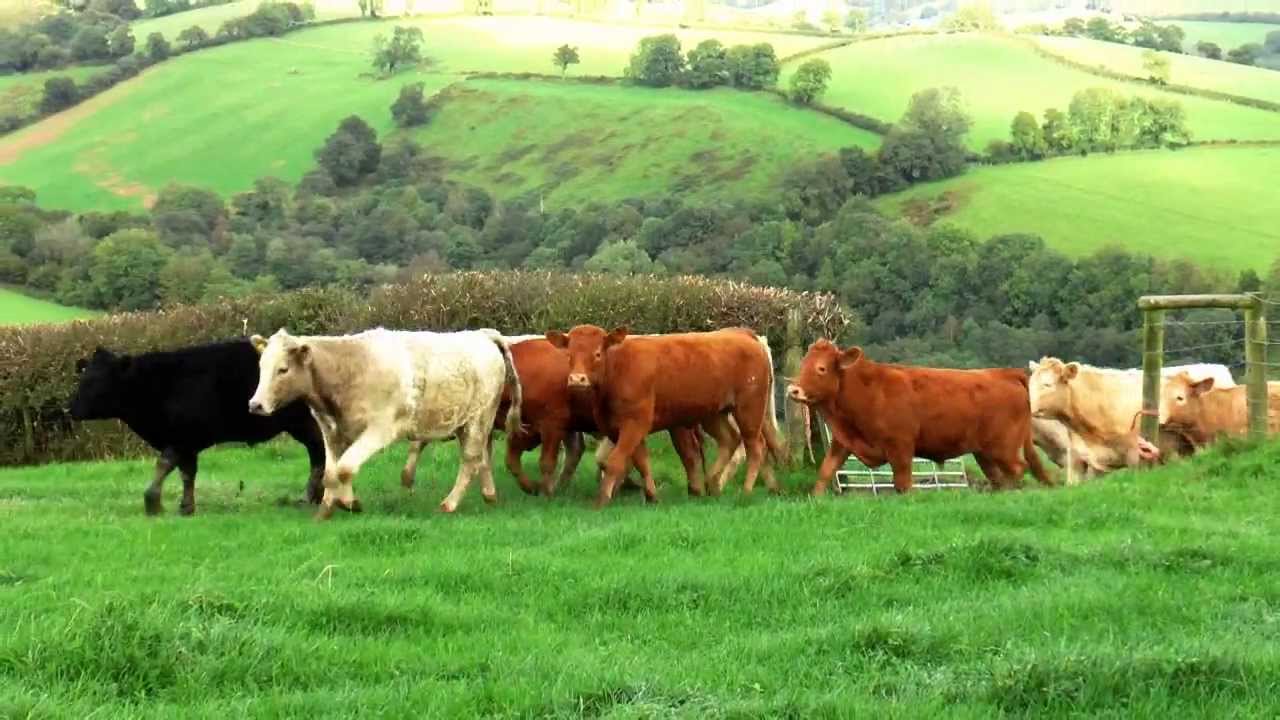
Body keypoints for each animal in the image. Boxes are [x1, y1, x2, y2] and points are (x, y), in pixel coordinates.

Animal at [68, 341, 325, 516]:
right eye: (83, 378)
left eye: (98, 380)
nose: (71, 409)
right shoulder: (186, 442)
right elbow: (187, 473)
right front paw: (186, 507)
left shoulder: (181, 437)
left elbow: (164, 464)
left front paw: (153, 503)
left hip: (308, 424)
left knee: (320, 454)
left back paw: (311, 496)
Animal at [248, 327, 522, 519]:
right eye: (261, 366)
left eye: (283, 369)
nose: (255, 404)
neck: (349, 369)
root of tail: (482, 334)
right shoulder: (332, 432)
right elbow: (330, 473)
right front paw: (326, 509)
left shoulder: (380, 430)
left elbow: (344, 469)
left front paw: (349, 503)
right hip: (470, 424)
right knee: (482, 458)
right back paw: (489, 496)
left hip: (477, 419)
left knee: (470, 460)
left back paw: (450, 504)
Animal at [547, 325, 783, 508]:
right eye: (568, 355)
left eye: (597, 353)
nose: (577, 379)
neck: (618, 368)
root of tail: (744, 334)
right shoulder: (618, 428)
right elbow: (641, 461)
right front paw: (652, 496)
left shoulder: (635, 424)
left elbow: (615, 461)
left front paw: (601, 500)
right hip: (713, 414)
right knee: (729, 440)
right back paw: (712, 483)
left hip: (749, 410)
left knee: (756, 447)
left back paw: (746, 491)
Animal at [786, 341, 1053, 494]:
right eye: (803, 364)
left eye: (821, 368)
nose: (793, 390)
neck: (868, 390)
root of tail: (1005, 373)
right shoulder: (843, 441)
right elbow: (825, 472)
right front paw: (816, 499)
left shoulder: (900, 445)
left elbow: (903, 482)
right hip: (984, 452)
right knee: (998, 476)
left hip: (1003, 448)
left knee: (1017, 469)